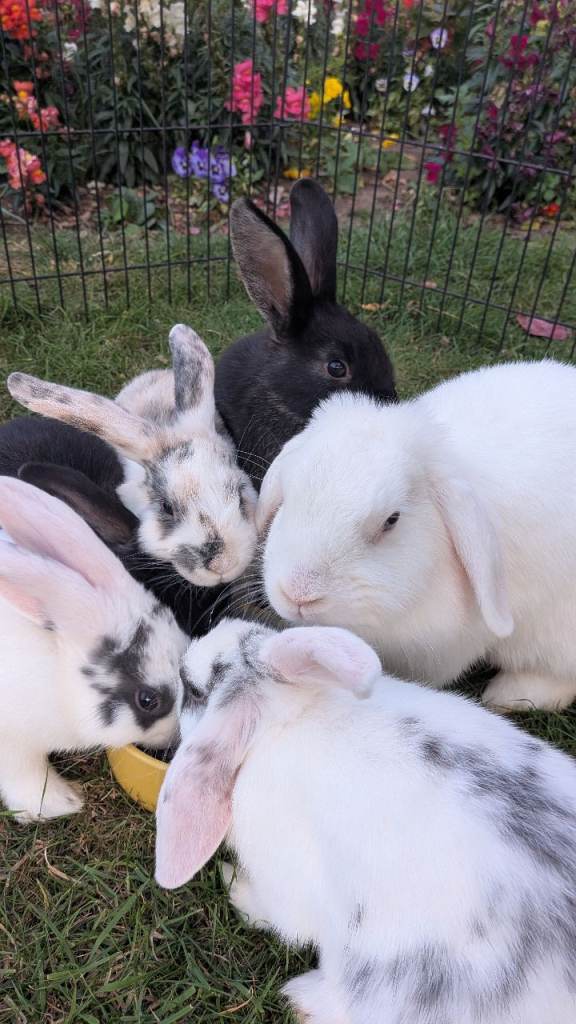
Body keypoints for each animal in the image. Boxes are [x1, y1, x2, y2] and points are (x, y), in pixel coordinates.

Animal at [0, 476, 190, 822]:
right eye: (148, 701)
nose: (176, 736)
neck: (59, 681)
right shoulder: (11, 741)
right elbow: (25, 775)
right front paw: (60, 804)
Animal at [155, 619, 576, 1024]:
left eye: (194, 690)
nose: (183, 657)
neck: (289, 719)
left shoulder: (283, 886)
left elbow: (278, 917)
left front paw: (232, 883)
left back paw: (301, 1000)